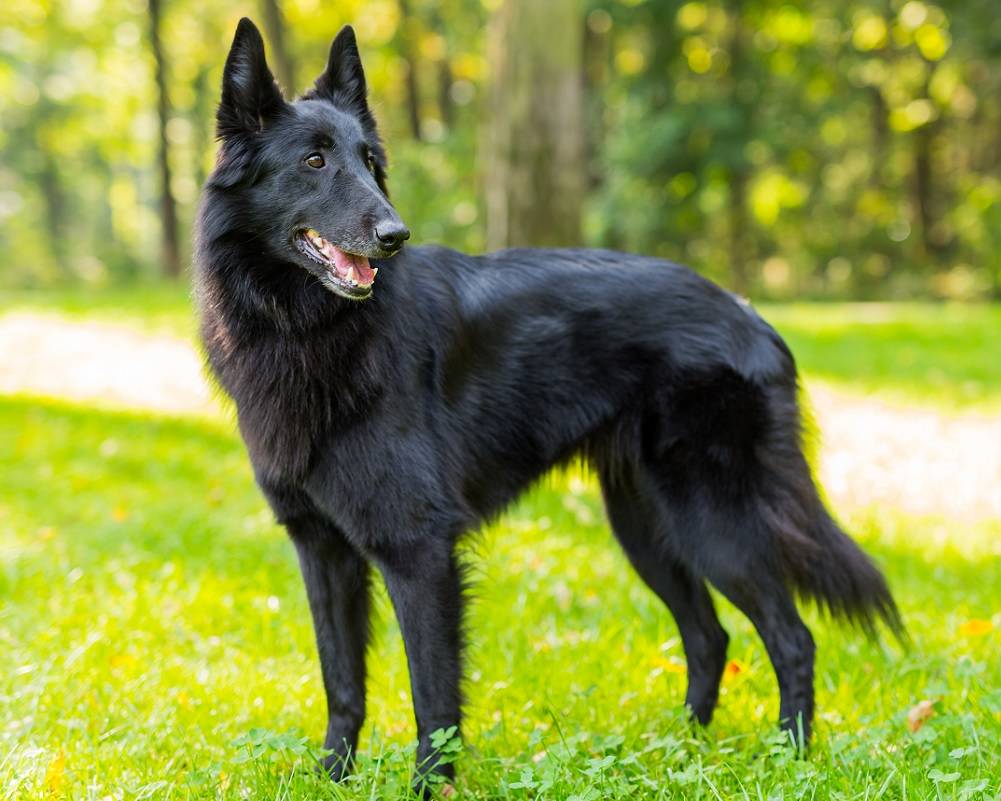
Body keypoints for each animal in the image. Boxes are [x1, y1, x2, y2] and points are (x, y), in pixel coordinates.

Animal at [193, 17, 900, 788]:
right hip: (646, 527)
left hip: (712, 521)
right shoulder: (322, 550)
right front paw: (332, 778)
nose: (394, 236)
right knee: (710, 634)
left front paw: (428, 788)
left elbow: (432, 696)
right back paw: (682, 751)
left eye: (368, 160)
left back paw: (789, 757)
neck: (307, 330)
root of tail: (749, 315)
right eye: (315, 162)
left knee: (791, 635)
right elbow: (342, 681)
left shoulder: (418, 553)